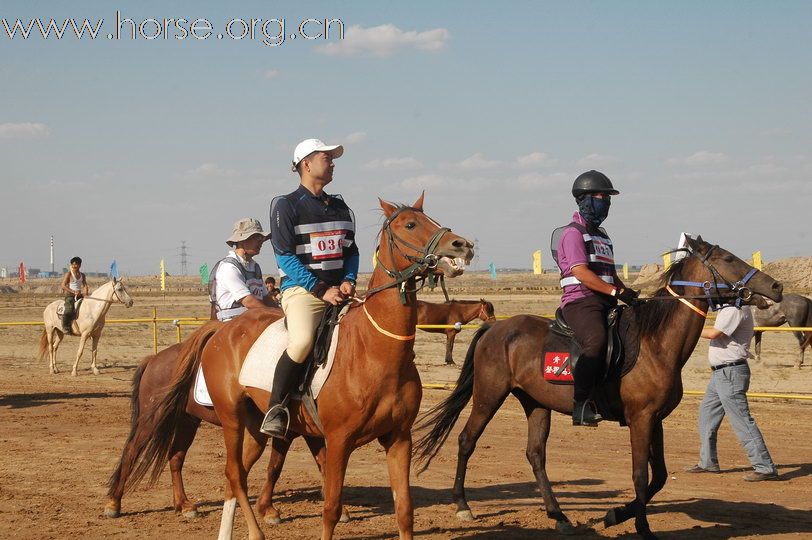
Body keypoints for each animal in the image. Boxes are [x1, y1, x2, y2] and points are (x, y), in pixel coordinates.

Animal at [123, 194, 472, 540]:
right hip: (230, 418)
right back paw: (252, 532)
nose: (462, 245)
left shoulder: (399, 439)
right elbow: (331, 509)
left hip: (254, 428)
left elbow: (404, 511)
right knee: (232, 472)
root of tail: (221, 331)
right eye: (410, 224)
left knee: (237, 475)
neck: (376, 351)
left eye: (433, 219)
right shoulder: (338, 441)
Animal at [416, 237, 784, 540]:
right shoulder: (640, 419)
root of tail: (495, 328)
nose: (776, 286)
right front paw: (641, 527)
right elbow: (640, 475)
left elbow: (660, 476)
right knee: (467, 440)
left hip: (535, 403)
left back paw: (559, 516)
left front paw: (615, 514)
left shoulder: (655, 420)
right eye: (728, 258)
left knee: (535, 455)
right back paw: (463, 505)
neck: (655, 342)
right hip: (488, 396)